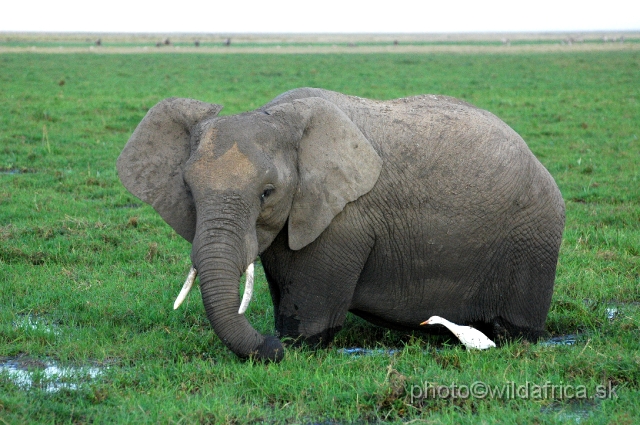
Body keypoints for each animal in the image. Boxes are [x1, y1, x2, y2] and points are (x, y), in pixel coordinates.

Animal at [116, 87, 564, 362]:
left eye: (267, 193)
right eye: (189, 191)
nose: (270, 347)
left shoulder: (343, 220)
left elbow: (311, 314)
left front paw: (295, 346)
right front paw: (282, 341)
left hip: (533, 236)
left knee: (517, 329)